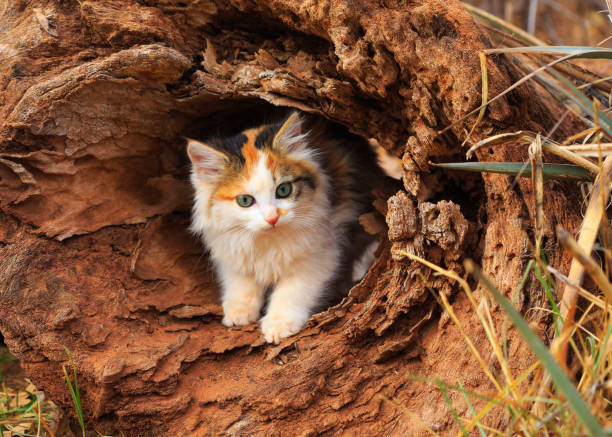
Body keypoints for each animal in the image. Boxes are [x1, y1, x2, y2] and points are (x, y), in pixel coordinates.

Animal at [186, 110, 382, 342]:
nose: (272, 218)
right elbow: (241, 282)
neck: (267, 238)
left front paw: (278, 324)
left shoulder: (319, 253)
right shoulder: (230, 247)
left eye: (283, 190)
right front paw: (238, 312)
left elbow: (291, 291)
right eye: (245, 200)